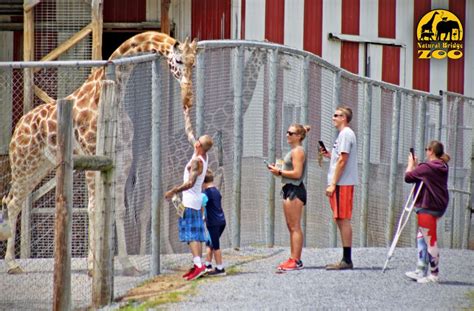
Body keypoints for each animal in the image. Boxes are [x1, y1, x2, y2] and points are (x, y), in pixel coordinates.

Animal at [0, 32, 197, 276]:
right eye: (178, 61)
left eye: (193, 63)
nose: (188, 95)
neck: (117, 94)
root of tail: (18, 126)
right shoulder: (92, 155)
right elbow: (93, 208)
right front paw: (93, 266)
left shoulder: (123, 158)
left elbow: (118, 208)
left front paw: (127, 264)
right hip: (23, 164)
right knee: (12, 202)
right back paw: (12, 264)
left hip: (40, 166)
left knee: (14, 202)